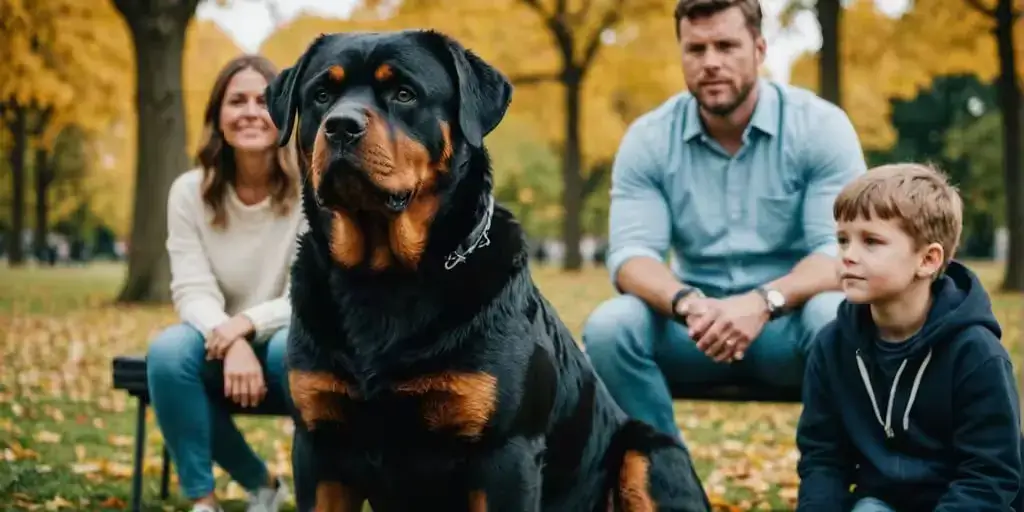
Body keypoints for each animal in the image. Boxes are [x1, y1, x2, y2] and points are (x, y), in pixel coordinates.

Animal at [264, 29, 712, 512]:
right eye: (321, 96)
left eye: (404, 94)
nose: (341, 125)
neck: (385, 277)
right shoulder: (319, 447)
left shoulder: (506, 453)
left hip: (650, 453)